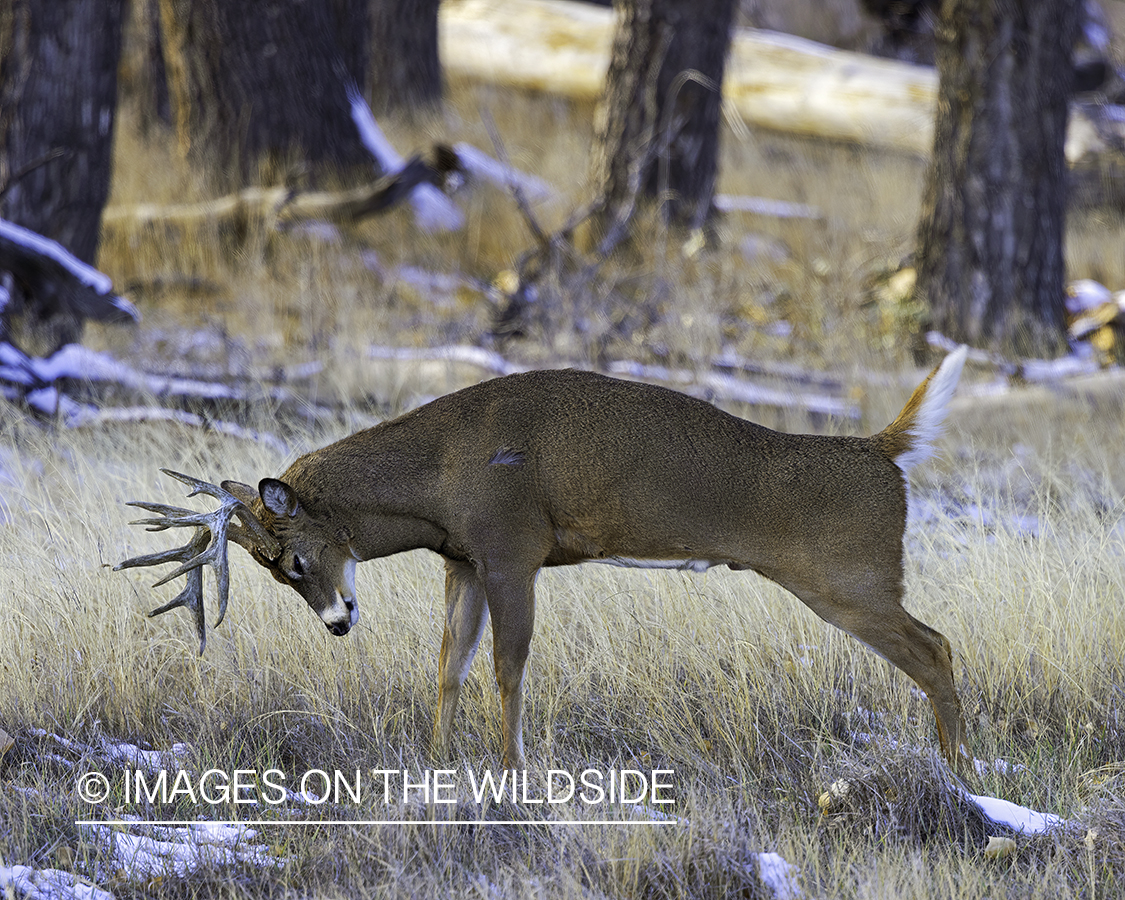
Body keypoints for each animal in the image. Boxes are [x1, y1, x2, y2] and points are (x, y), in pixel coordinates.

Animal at [118, 346, 972, 774]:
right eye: (272, 570)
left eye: (293, 559)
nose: (336, 621)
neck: (440, 476)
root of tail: (883, 450)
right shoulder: (461, 560)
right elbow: (448, 666)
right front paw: (436, 763)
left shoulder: (511, 546)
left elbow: (508, 666)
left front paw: (512, 771)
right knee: (935, 644)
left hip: (847, 575)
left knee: (934, 645)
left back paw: (962, 775)